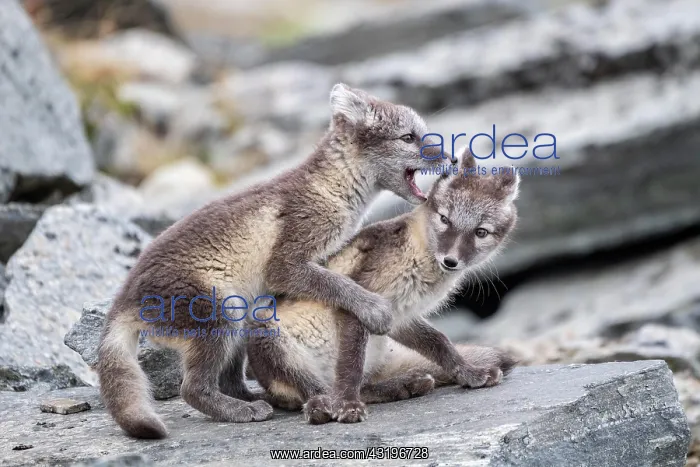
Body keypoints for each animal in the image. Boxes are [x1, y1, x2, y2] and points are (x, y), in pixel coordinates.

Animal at [97, 84, 447, 438]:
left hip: (241, 317)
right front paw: (374, 309)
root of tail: (123, 300)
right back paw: (244, 410)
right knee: (192, 388)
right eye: (408, 137)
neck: (331, 189)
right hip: (219, 313)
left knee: (232, 380)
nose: (450, 158)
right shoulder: (287, 260)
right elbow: (336, 283)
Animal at [246, 152, 519, 424]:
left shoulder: (399, 317)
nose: (450, 261)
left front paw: (469, 373)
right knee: (315, 390)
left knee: (361, 387)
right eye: (445, 219)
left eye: (481, 232)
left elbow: (440, 342)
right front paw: (347, 405)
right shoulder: (363, 301)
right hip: (269, 336)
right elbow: (351, 365)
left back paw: (407, 384)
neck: (416, 254)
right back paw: (324, 406)